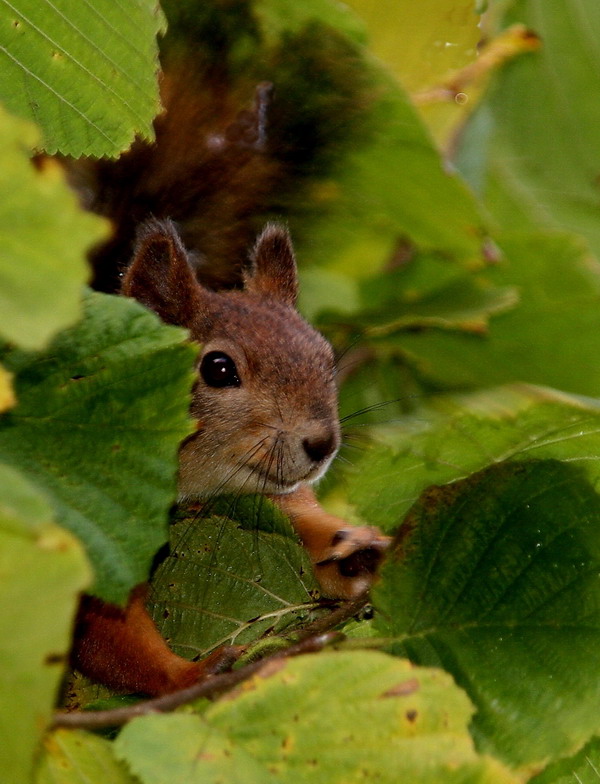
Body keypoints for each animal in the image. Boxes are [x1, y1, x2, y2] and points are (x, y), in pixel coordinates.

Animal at [63, 4, 390, 700]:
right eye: (218, 370)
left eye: (325, 354)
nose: (322, 443)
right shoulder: (94, 526)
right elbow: (110, 638)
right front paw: (191, 673)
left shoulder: (274, 502)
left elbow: (307, 528)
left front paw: (357, 546)